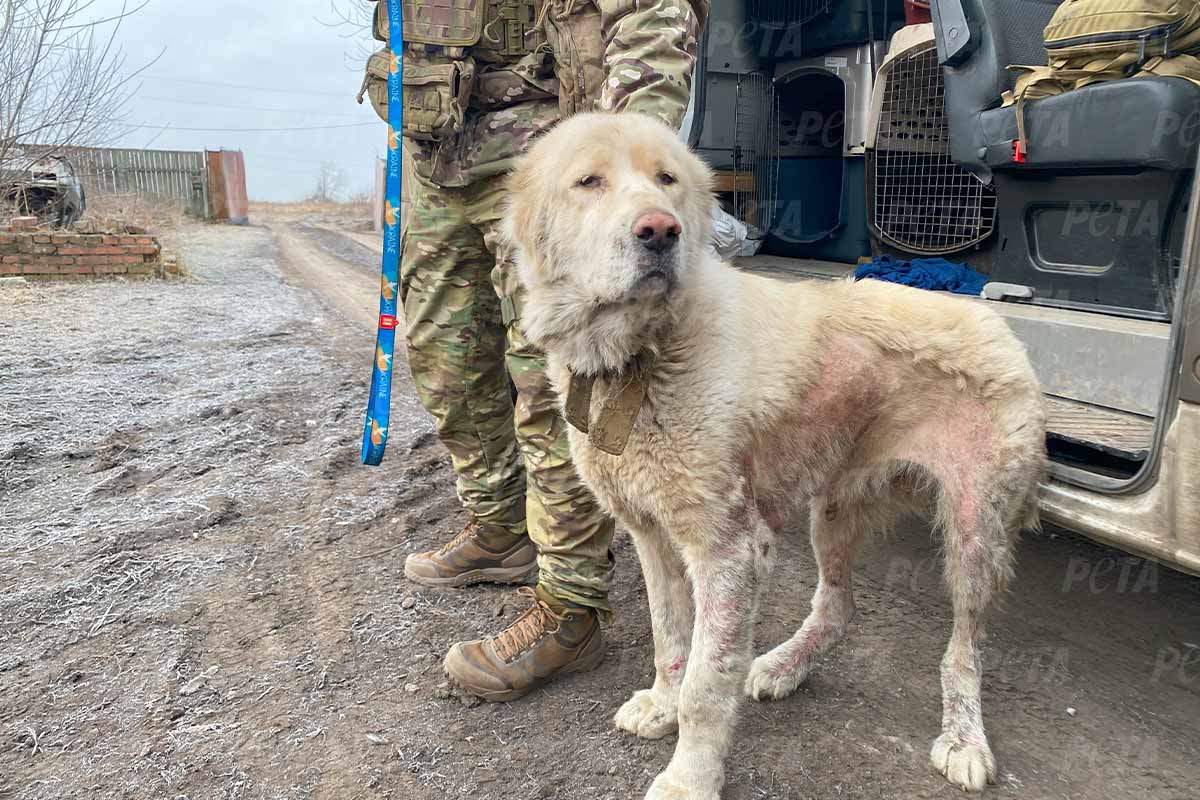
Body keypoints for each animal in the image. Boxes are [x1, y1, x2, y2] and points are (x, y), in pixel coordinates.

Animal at [501, 113, 1046, 800]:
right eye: (588, 182)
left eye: (666, 179)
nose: (660, 231)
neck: (643, 354)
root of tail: (1001, 326)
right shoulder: (651, 534)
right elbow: (668, 636)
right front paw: (660, 703)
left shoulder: (730, 551)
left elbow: (706, 685)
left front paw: (689, 778)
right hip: (835, 507)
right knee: (838, 605)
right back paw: (788, 666)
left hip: (975, 533)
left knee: (966, 650)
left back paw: (964, 739)